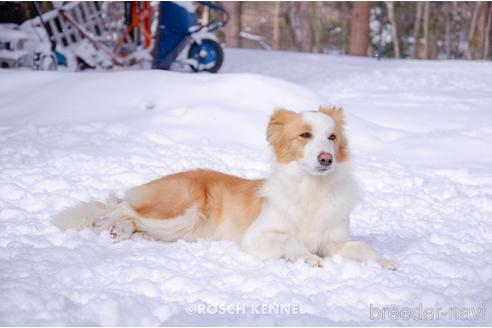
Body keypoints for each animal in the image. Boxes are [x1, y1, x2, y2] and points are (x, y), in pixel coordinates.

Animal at [53, 106, 396, 270]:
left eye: (332, 137)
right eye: (305, 135)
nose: (326, 158)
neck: (311, 189)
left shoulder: (335, 241)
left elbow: (363, 248)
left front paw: (384, 262)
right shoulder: (255, 237)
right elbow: (291, 241)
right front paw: (309, 259)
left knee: (129, 217)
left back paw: (123, 232)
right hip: (181, 210)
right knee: (119, 207)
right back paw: (110, 226)